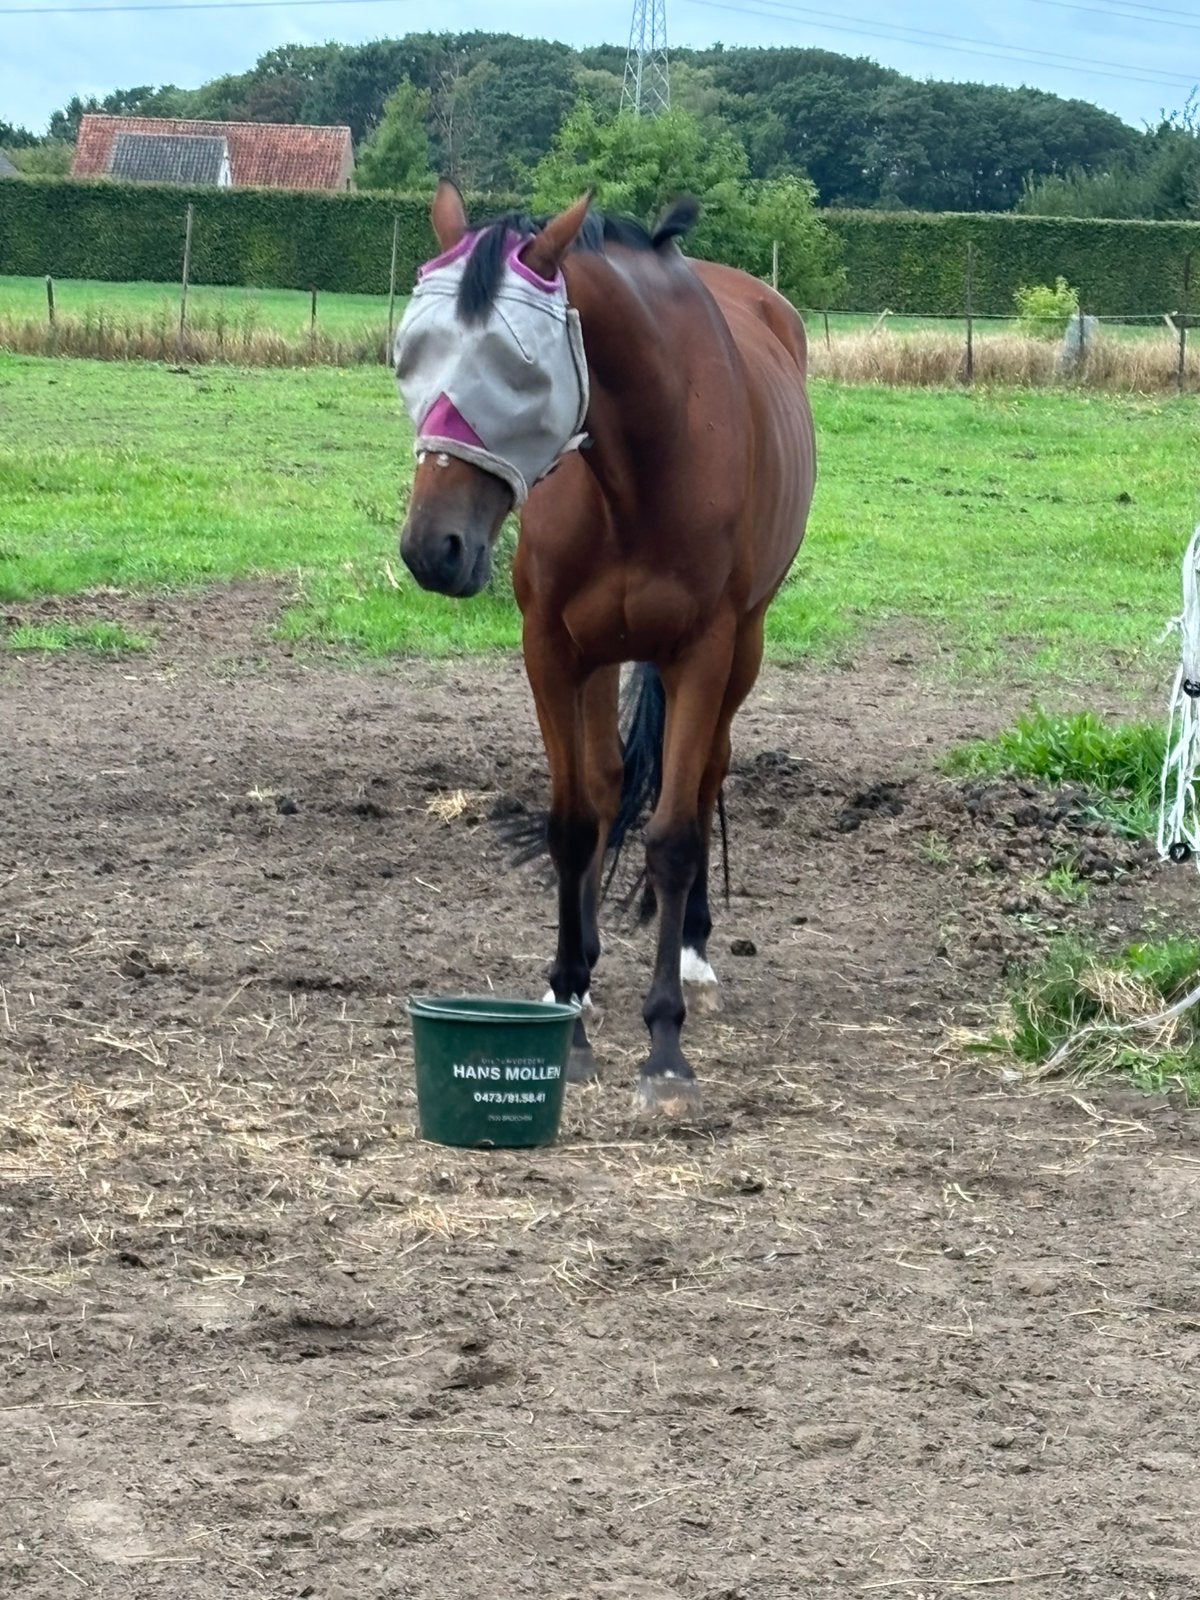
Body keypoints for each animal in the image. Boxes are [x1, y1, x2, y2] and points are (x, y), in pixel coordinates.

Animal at [394, 180, 815, 1112]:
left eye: (517, 369)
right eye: (411, 357)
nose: (432, 549)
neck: (643, 461)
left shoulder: (703, 651)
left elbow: (673, 837)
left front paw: (664, 1049)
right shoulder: (554, 651)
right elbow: (575, 822)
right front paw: (570, 1001)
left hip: (743, 647)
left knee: (704, 779)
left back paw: (692, 947)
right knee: (610, 784)